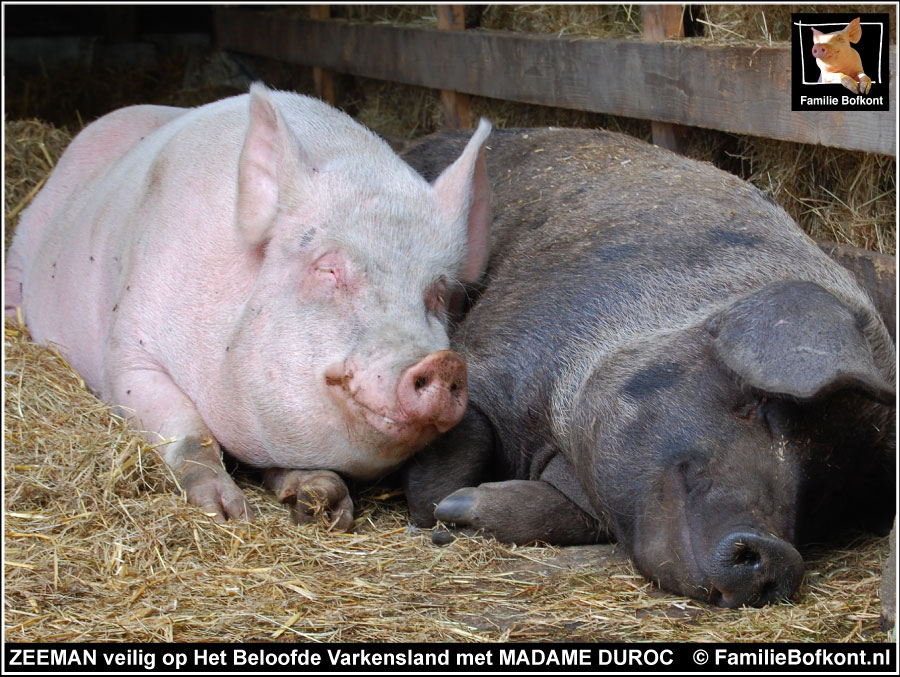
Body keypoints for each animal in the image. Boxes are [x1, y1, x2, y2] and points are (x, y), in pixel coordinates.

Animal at [5, 84, 492, 524]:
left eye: (436, 293)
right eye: (328, 269)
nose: (443, 363)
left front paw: (322, 501)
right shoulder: (128, 352)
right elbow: (190, 433)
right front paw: (226, 513)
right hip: (27, 238)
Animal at [400, 127, 892, 608]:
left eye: (826, 495)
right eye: (761, 405)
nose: (779, 557)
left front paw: (459, 506)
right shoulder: (498, 348)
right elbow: (455, 453)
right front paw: (446, 508)